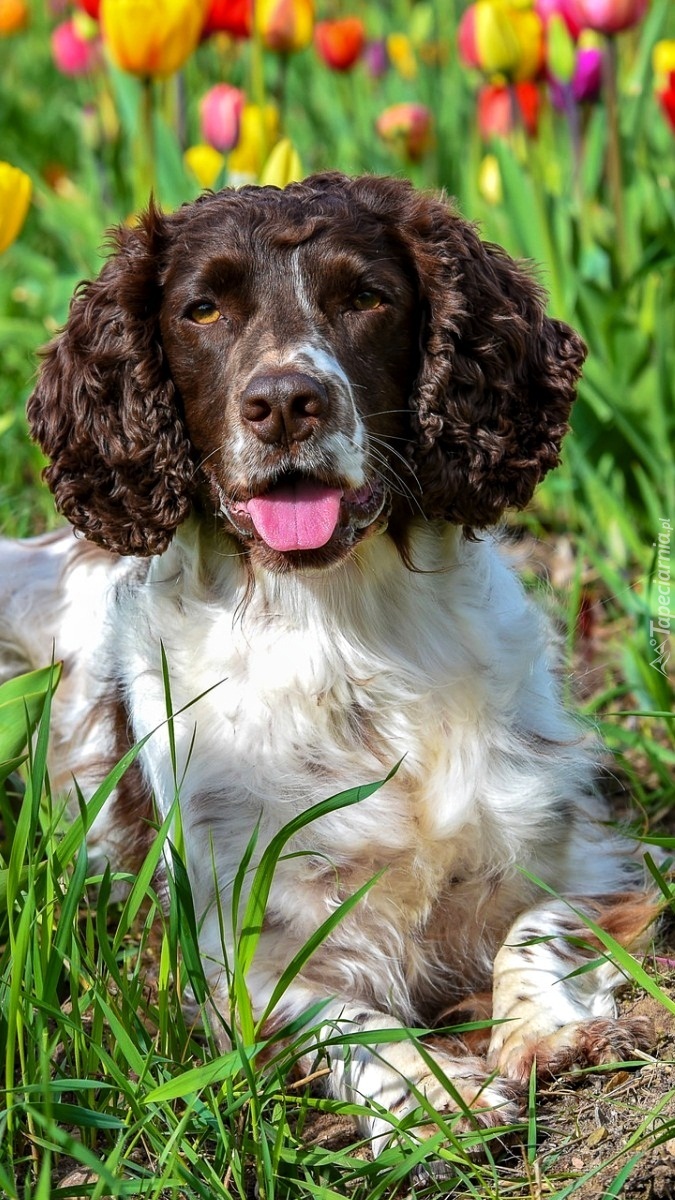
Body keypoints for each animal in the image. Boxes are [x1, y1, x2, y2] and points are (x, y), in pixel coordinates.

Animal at [0, 175, 653, 1152]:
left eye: (366, 298)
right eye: (202, 310)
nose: (283, 402)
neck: (342, 634)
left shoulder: (584, 853)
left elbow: (535, 928)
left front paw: (542, 1027)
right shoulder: (231, 950)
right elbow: (342, 1019)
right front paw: (432, 1096)